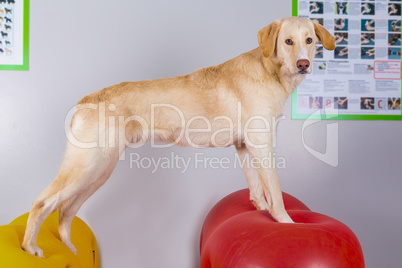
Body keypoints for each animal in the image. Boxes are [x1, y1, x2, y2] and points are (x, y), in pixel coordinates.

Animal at [22, 17, 336, 258]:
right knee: (43, 203)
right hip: (88, 165)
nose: (304, 64)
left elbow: (257, 188)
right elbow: (276, 193)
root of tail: (85, 100)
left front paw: (260, 210)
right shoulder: (262, 145)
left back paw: (70, 252)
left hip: (99, 171)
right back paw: (30, 249)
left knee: (65, 212)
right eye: (288, 42)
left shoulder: (245, 146)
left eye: (309, 40)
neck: (270, 70)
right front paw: (286, 223)